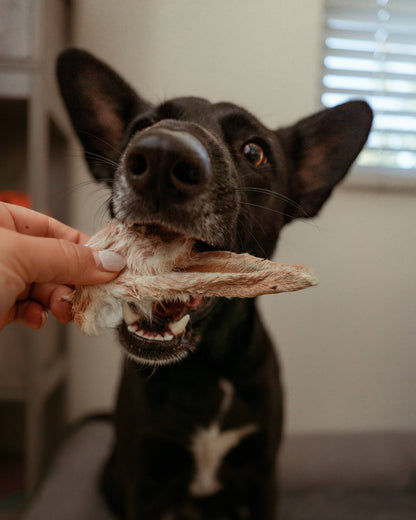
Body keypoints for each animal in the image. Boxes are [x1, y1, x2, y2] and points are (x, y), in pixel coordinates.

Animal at [57, 49, 372, 520]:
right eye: (142, 126)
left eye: (254, 152)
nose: (161, 157)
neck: (205, 368)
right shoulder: (144, 481)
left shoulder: (262, 476)